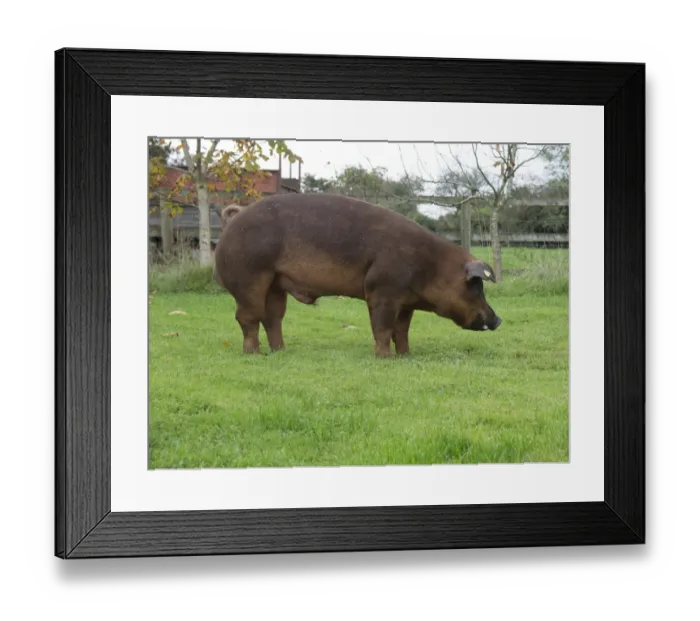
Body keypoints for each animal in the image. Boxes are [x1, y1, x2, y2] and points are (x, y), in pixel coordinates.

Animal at [213, 193, 502, 357]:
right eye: (476, 287)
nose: (498, 319)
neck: (431, 267)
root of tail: (235, 217)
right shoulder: (381, 290)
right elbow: (383, 327)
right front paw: (385, 357)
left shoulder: (406, 302)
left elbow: (402, 330)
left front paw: (406, 355)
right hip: (248, 277)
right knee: (247, 317)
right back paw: (253, 354)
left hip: (275, 283)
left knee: (272, 318)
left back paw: (280, 351)